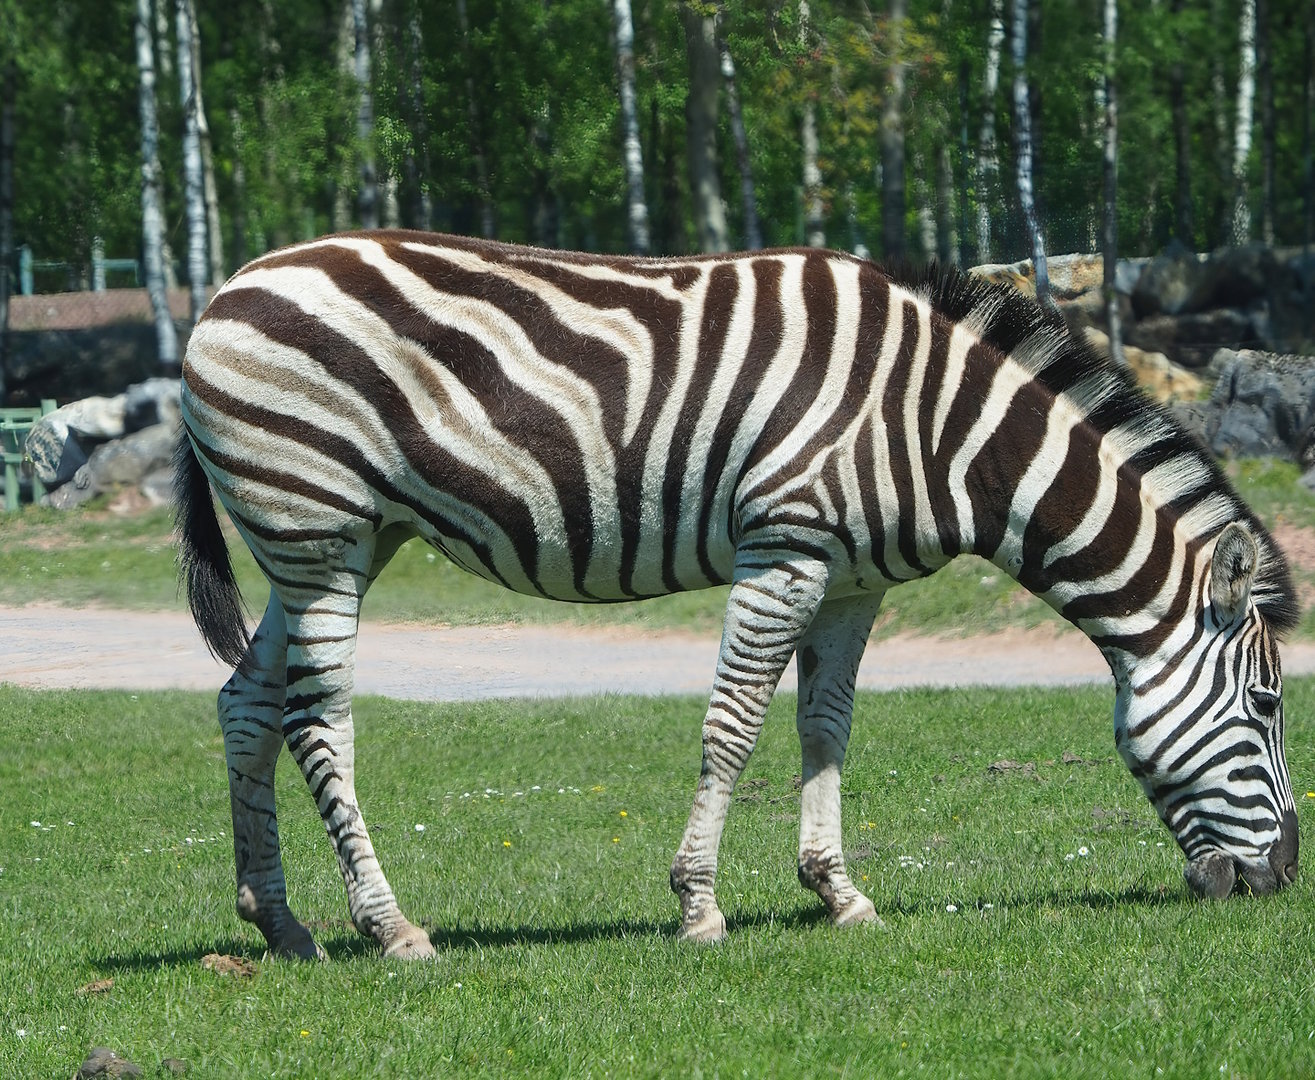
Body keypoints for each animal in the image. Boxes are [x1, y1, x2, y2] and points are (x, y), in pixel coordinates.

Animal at [175, 230, 1300, 960]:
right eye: (1268, 705)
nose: (1282, 879)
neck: (938, 428)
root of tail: (225, 288)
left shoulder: (851, 583)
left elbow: (825, 727)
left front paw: (838, 893)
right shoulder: (785, 550)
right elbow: (734, 724)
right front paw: (698, 907)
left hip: (337, 539)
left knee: (245, 704)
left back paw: (279, 922)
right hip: (318, 533)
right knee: (317, 719)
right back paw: (390, 926)